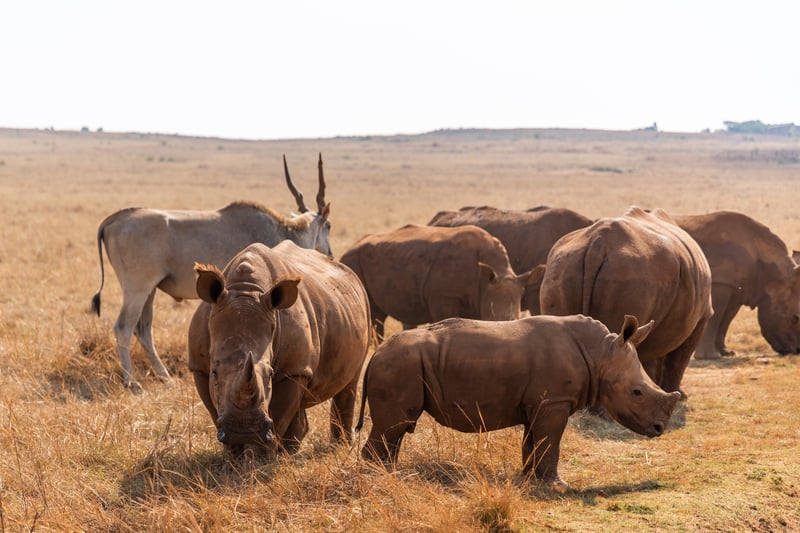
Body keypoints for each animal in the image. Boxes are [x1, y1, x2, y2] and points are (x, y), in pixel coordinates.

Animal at [92, 154, 331, 392]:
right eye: (328, 225)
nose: (329, 252)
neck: (282, 230)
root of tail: (115, 219)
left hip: (149, 292)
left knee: (143, 329)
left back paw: (165, 378)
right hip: (137, 290)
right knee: (123, 327)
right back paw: (131, 382)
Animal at [188, 241, 371, 455]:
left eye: (270, 375)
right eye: (215, 373)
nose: (243, 431)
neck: (245, 293)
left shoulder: (292, 370)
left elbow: (279, 414)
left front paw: (263, 457)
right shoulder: (199, 366)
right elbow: (214, 409)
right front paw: (234, 455)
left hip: (362, 310)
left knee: (349, 384)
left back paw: (337, 447)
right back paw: (293, 450)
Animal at [356, 314, 681, 486]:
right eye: (637, 393)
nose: (659, 429)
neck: (600, 353)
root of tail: (374, 355)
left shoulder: (541, 403)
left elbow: (533, 441)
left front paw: (529, 478)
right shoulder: (554, 402)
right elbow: (551, 442)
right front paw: (557, 486)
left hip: (402, 364)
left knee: (397, 429)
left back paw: (391, 474)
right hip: (399, 365)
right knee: (394, 425)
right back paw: (379, 479)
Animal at [538, 207, 713, 395]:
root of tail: (597, 246)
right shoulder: (701, 317)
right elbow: (678, 359)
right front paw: (677, 394)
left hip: (563, 266)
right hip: (634, 273)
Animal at [672, 210, 800, 358]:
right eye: (795, 318)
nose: (797, 351)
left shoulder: (738, 288)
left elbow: (725, 320)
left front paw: (727, 352)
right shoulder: (720, 282)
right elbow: (715, 318)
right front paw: (711, 356)